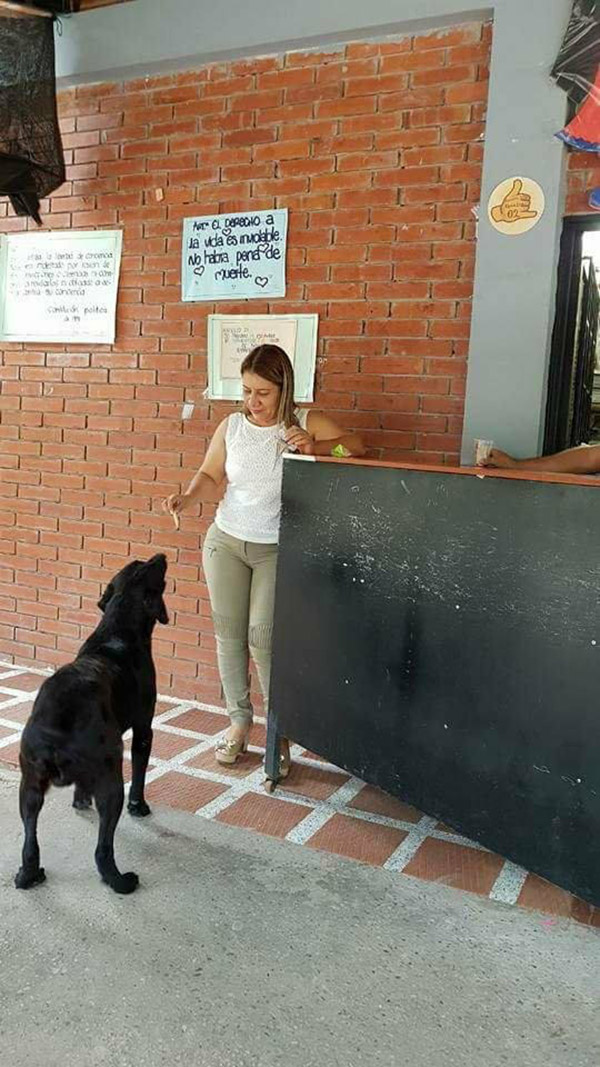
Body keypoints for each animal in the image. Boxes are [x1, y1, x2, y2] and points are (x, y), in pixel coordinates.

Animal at [14, 554, 168, 896]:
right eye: (149, 569)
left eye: (137, 564)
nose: (161, 557)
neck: (117, 626)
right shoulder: (144, 729)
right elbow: (140, 771)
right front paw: (140, 806)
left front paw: (80, 800)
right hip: (111, 782)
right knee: (102, 850)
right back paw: (120, 880)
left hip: (29, 786)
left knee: (29, 841)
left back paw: (29, 874)